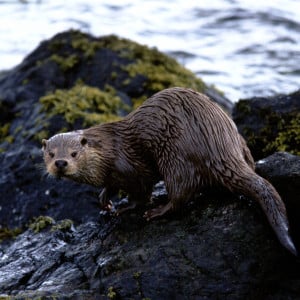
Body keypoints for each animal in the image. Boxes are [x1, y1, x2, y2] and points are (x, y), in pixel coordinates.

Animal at [42, 86, 298, 255]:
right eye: (51, 153)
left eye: (74, 153)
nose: (61, 163)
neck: (108, 149)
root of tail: (219, 143)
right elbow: (110, 185)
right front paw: (105, 200)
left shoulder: (130, 166)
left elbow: (141, 192)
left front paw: (125, 208)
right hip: (239, 144)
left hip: (175, 156)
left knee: (181, 193)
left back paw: (157, 211)